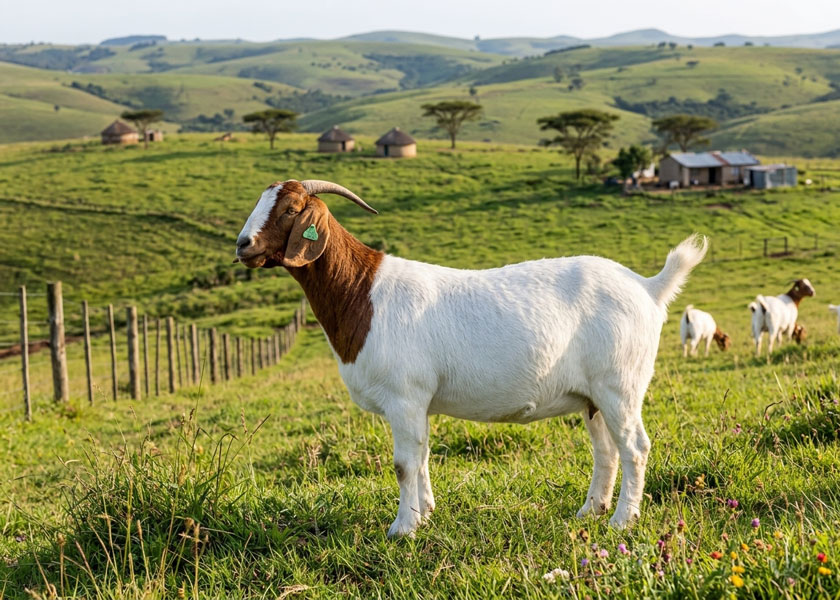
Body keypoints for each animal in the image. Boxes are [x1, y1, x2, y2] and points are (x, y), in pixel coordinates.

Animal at [235, 180, 708, 536]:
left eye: (290, 209)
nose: (243, 245)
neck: (362, 293)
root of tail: (649, 287)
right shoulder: (419, 402)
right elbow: (423, 457)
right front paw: (425, 514)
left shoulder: (405, 396)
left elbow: (404, 464)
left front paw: (402, 529)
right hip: (593, 396)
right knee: (606, 450)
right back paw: (590, 511)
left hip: (620, 384)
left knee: (635, 448)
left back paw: (622, 521)